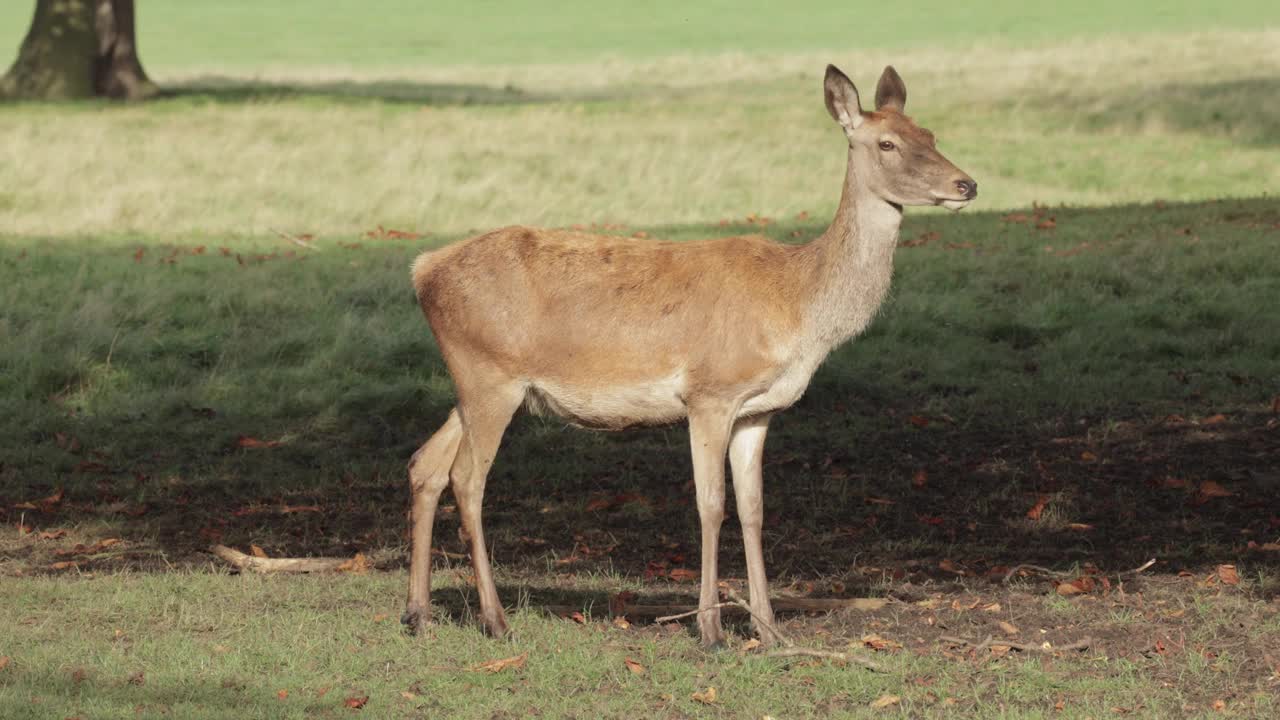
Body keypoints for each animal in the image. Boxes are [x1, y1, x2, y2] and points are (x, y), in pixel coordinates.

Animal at [404, 63, 972, 645]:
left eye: (931, 134)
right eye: (887, 143)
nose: (965, 184)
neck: (797, 306)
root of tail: (423, 271)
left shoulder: (758, 410)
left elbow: (753, 509)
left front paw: (769, 630)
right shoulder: (710, 392)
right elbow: (711, 505)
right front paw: (711, 629)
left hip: (477, 385)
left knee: (425, 463)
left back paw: (418, 612)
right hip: (490, 375)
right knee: (467, 479)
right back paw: (495, 620)